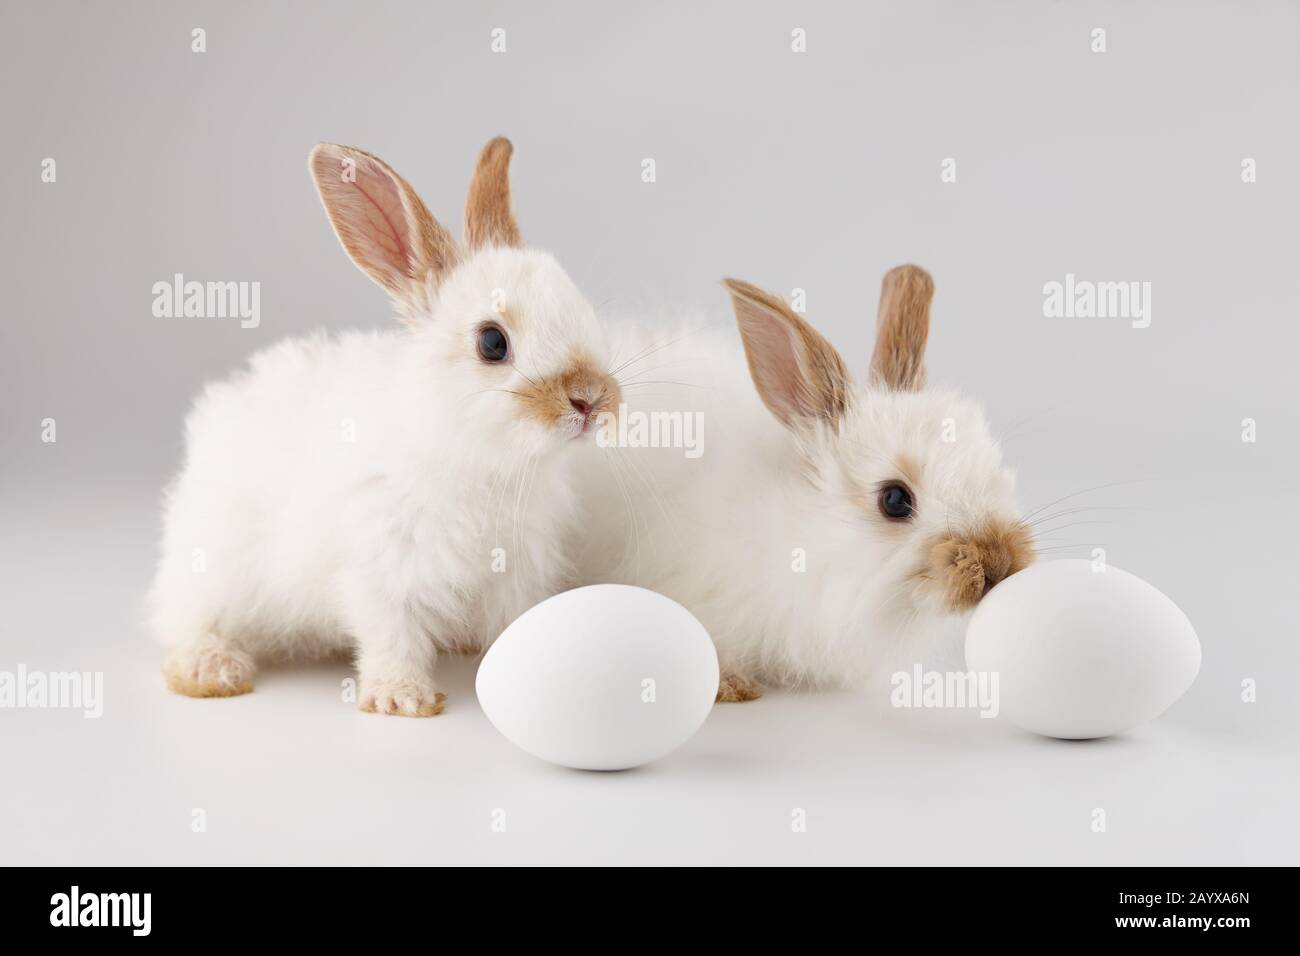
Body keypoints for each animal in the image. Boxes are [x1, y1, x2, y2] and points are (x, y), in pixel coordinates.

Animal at [150, 138, 618, 712]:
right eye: (492, 342)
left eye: (581, 310)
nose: (591, 399)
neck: (478, 457)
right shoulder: (382, 572)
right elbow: (391, 638)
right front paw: (403, 700)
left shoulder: (515, 577)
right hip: (209, 569)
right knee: (184, 623)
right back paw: (212, 670)